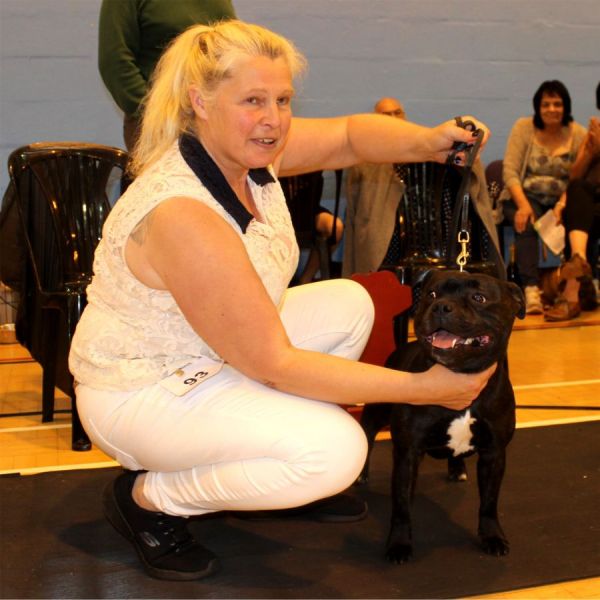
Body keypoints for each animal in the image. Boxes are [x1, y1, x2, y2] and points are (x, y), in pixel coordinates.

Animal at [359, 270, 525, 563]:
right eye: (432, 294)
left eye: (479, 297)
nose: (441, 307)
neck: (460, 374)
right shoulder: (408, 453)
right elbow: (402, 507)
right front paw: (399, 544)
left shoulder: (494, 453)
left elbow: (489, 503)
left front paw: (492, 537)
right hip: (378, 410)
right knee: (367, 431)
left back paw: (457, 468)